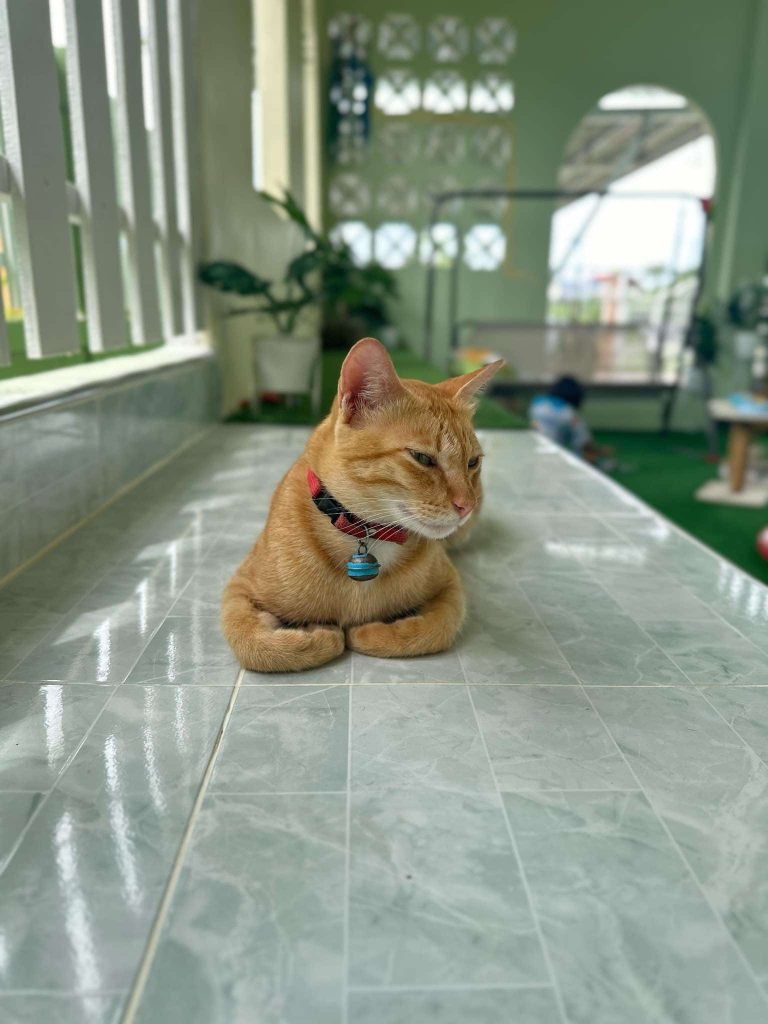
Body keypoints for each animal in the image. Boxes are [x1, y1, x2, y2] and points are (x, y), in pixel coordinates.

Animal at [222, 337, 503, 672]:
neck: (368, 534)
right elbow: (251, 644)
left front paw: (369, 633)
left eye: (473, 462)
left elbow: (437, 629)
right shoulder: (238, 587)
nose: (466, 506)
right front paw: (319, 638)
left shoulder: (451, 587)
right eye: (422, 458)